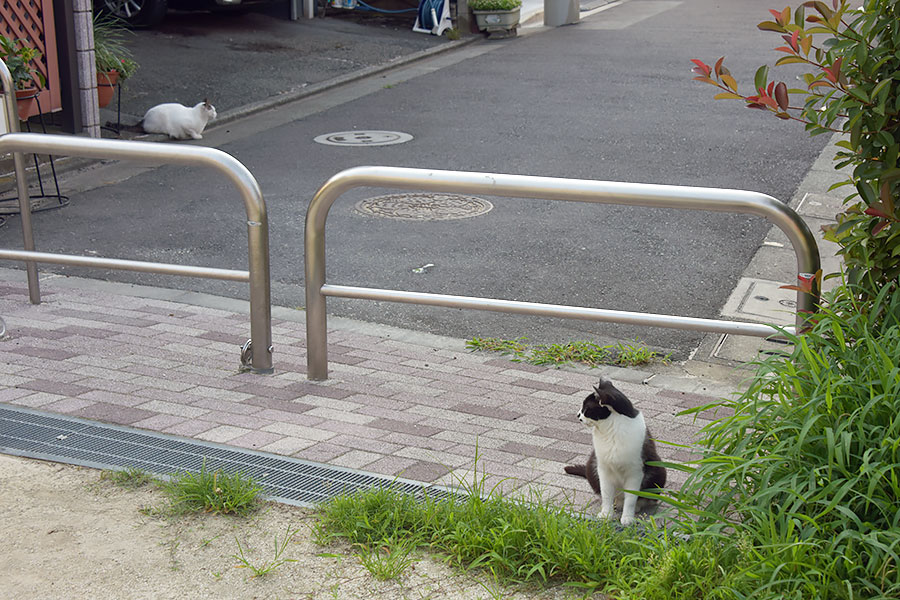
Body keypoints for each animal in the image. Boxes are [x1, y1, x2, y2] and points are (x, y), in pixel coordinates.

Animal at [568, 380, 664, 524]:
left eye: (586, 409)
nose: (578, 415)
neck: (610, 431)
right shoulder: (603, 469)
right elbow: (606, 494)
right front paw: (605, 515)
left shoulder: (635, 472)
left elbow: (631, 498)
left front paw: (627, 518)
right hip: (592, 465)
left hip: (659, 470)